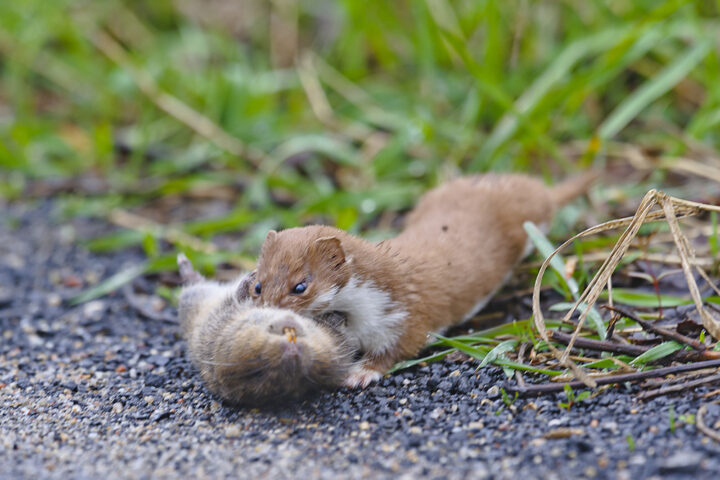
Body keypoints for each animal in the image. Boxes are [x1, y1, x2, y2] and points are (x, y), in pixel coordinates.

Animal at [177, 255, 352, 404]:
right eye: (257, 372)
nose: (293, 351)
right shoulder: (223, 312)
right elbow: (238, 296)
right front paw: (250, 280)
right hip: (193, 296)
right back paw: (183, 263)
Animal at [248, 172, 596, 386]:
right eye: (257, 285)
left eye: (300, 286)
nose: (265, 314)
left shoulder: (405, 315)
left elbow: (400, 347)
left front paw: (360, 373)